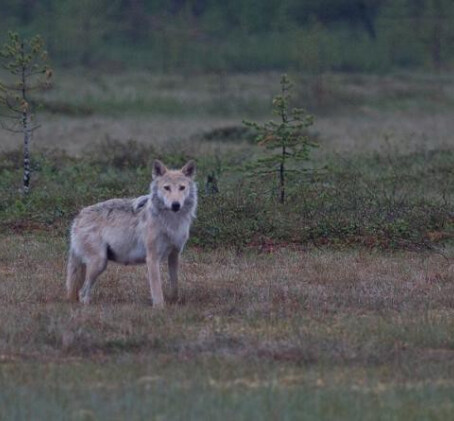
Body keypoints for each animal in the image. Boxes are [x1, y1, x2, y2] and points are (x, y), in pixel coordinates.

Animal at [65, 159, 197, 306]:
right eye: (167, 188)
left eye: (182, 188)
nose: (175, 205)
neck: (171, 222)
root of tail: (79, 216)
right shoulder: (152, 259)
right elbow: (157, 291)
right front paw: (160, 308)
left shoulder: (174, 255)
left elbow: (174, 286)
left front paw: (174, 302)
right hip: (99, 263)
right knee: (82, 292)